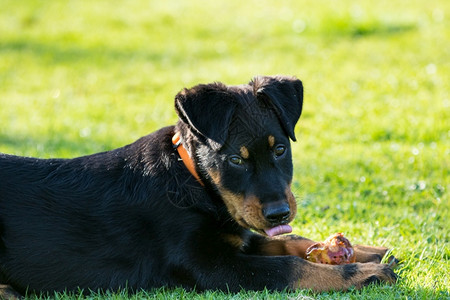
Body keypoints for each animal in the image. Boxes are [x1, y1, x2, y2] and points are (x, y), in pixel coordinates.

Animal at [0, 75, 396, 298]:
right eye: (235, 159)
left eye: (280, 149)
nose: (279, 213)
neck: (192, 180)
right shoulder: (209, 264)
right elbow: (289, 268)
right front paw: (364, 274)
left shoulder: (236, 236)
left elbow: (290, 242)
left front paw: (367, 251)